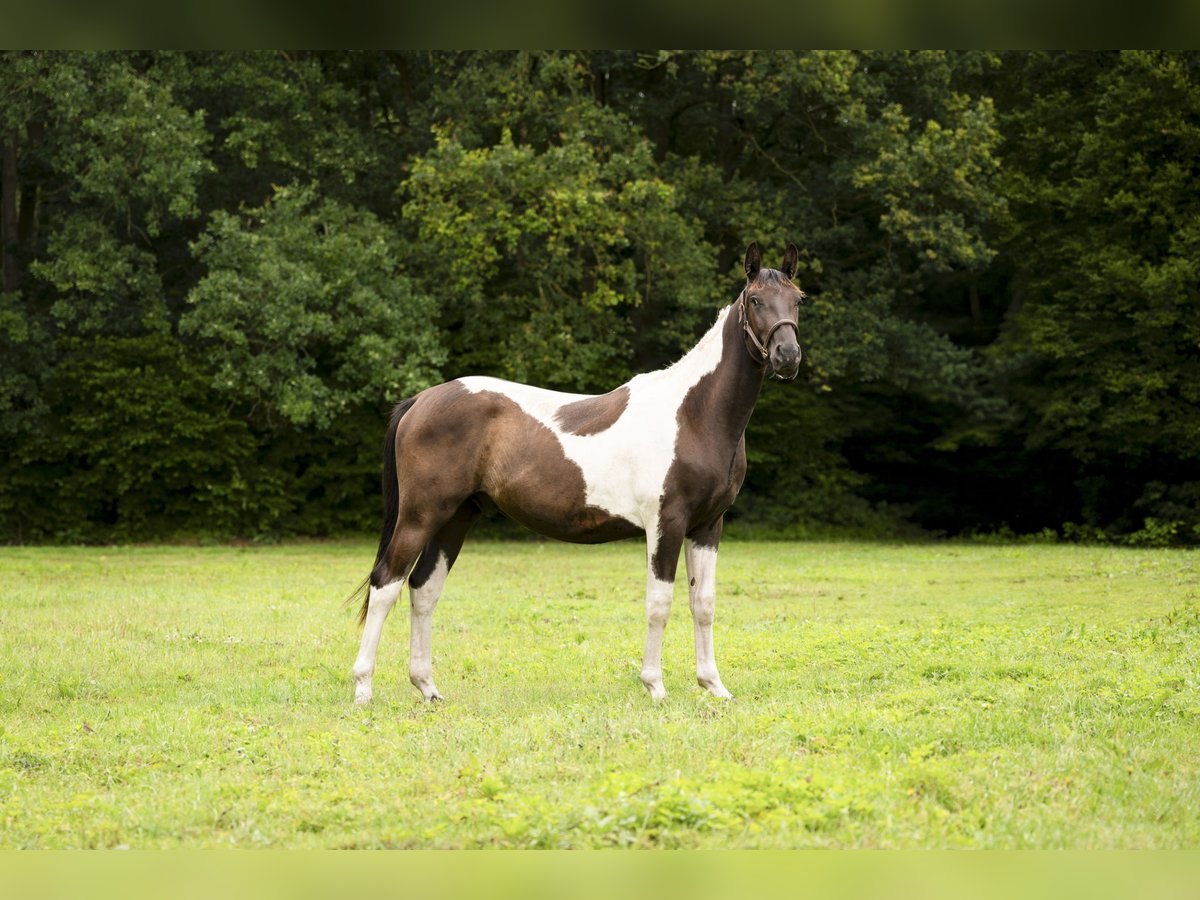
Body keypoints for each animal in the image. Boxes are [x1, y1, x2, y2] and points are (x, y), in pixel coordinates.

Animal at [350, 243, 806, 710]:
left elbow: (704, 602)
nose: (787, 356)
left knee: (423, 589)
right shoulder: (667, 523)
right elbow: (659, 602)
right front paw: (655, 686)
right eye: (756, 300)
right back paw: (363, 689)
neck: (695, 415)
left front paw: (713, 685)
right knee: (386, 584)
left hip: (456, 517)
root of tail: (421, 400)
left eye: (798, 300)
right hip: (421, 516)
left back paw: (427, 688)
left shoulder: (708, 525)